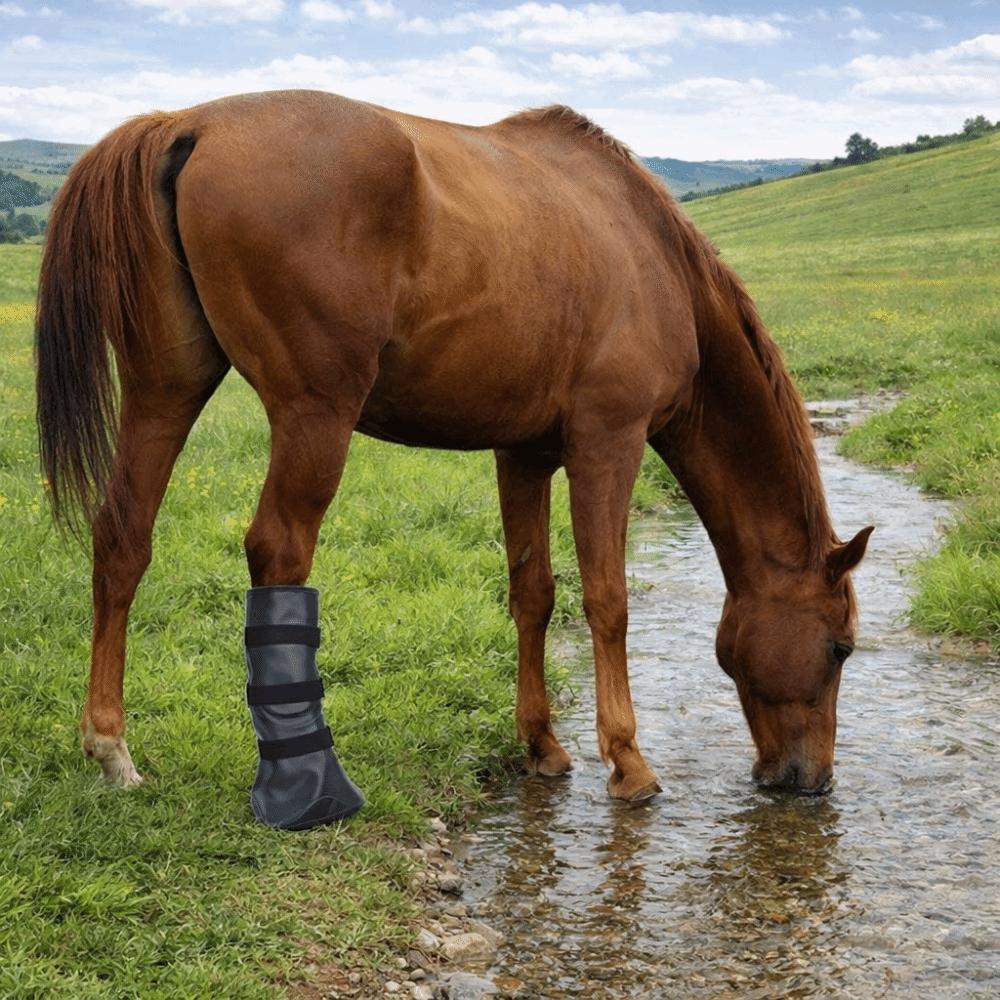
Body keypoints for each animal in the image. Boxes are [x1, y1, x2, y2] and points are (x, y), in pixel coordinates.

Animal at [35, 91, 872, 802]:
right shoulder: (609, 442)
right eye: (840, 648)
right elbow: (607, 600)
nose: (810, 780)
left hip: (165, 389)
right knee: (278, 552)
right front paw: (628, 763)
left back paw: (111, 749)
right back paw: (307, 779)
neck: (649, 253)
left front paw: (542, 746)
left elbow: (534, 592)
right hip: (314, 415)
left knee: (123, 538)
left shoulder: (525, 454)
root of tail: (190, 123)